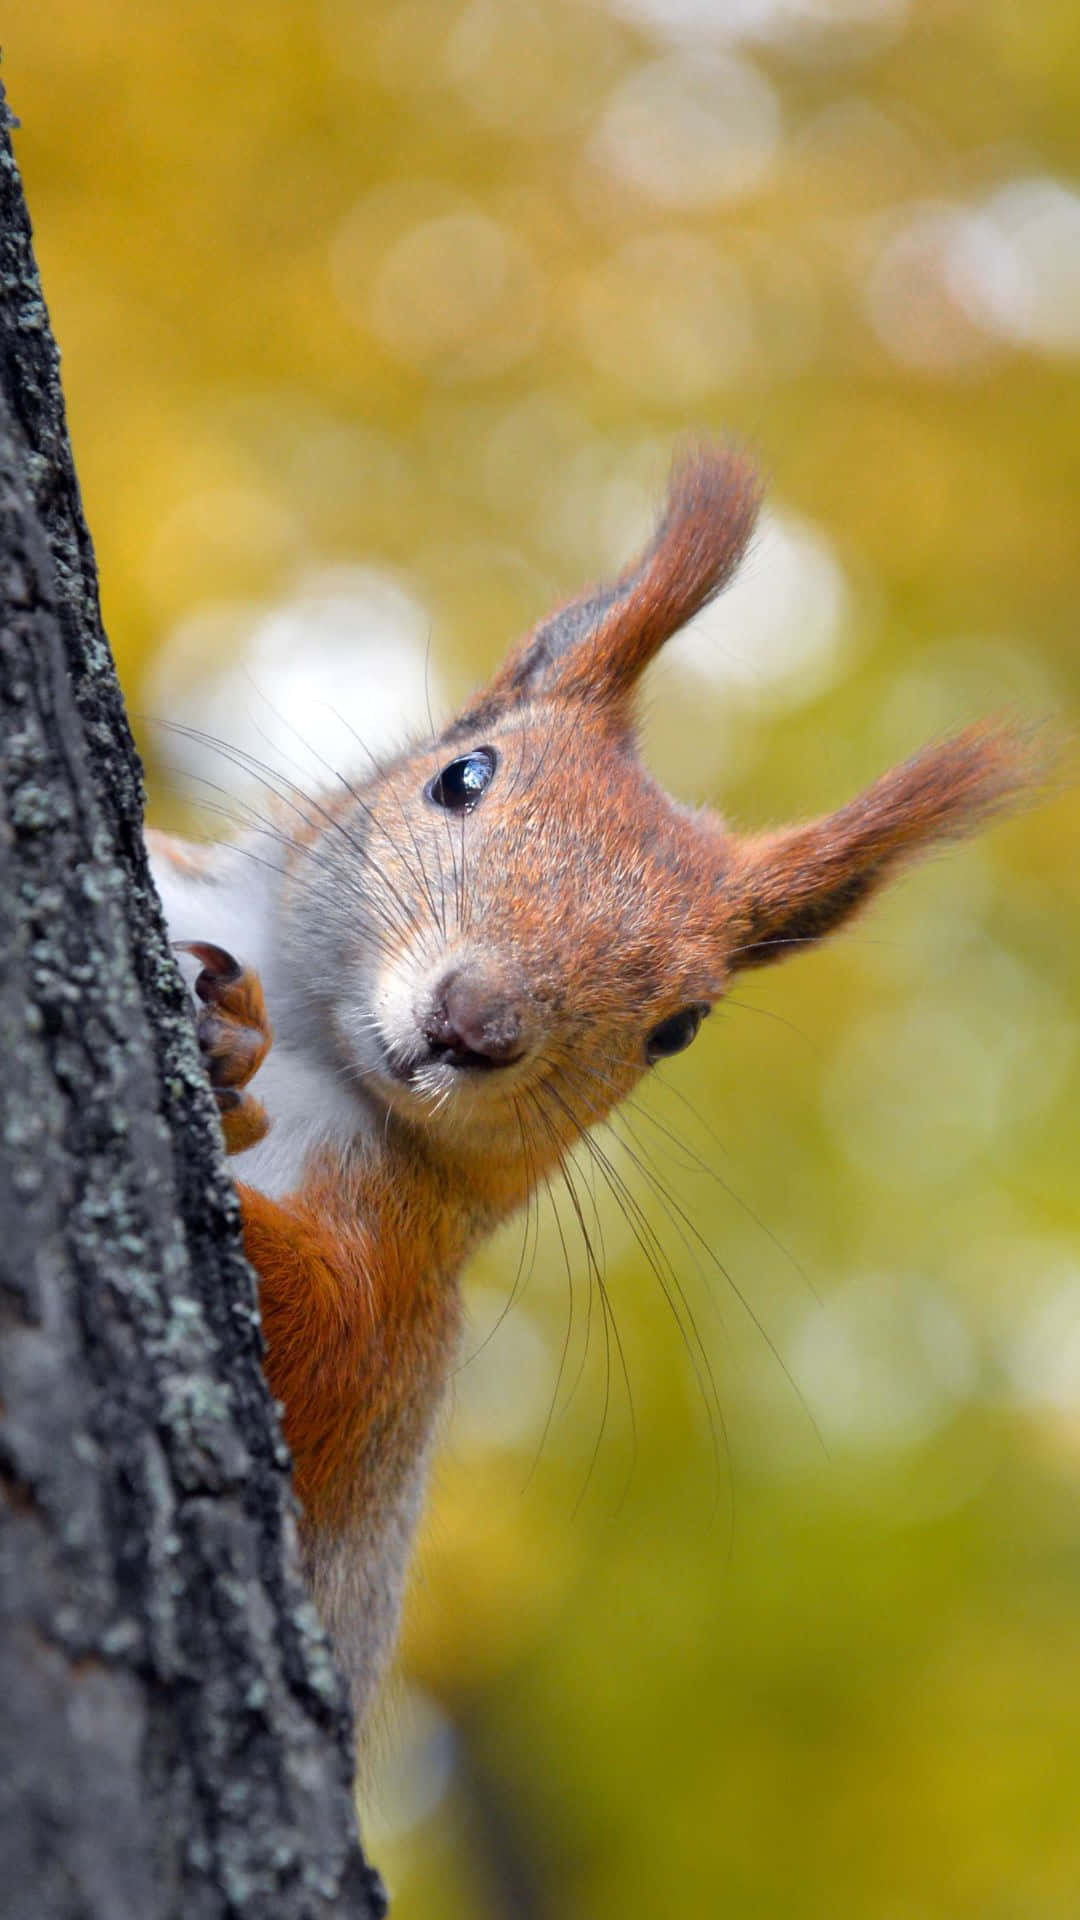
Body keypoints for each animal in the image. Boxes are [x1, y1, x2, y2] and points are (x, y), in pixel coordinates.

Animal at [146, 443, 1036, 1735]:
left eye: (680, 1028)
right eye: (463, 775)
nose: (474, 1025)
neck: (317, 1041)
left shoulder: (399, 1305)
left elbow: (322, 1335)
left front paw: (226, 1054)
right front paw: (222, 1024)